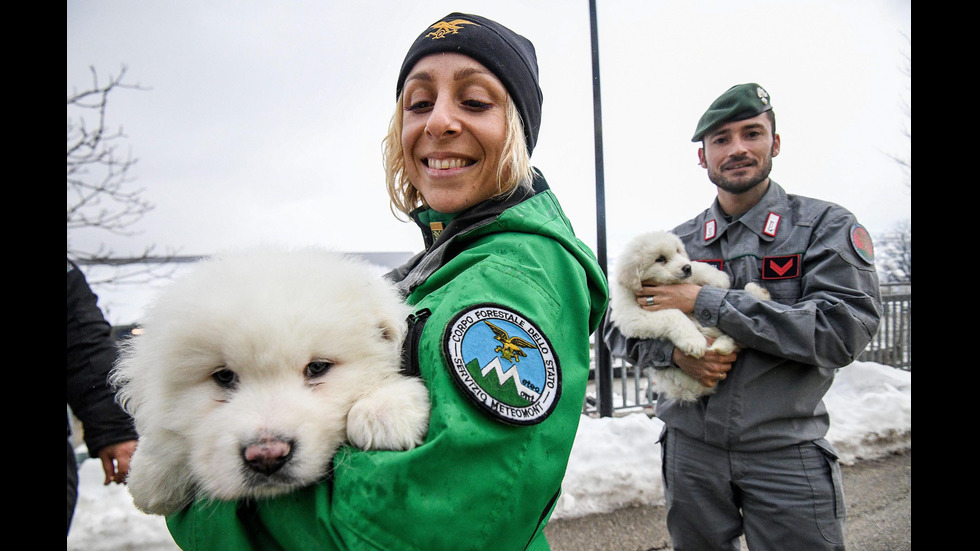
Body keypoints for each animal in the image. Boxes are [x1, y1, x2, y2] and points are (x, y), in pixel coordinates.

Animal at [612, 231, 764, 404]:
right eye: (660, 259)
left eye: (678, 251)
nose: (686, 268)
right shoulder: (632, 316)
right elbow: (674, 314)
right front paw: (694, 341)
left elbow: (697, 266)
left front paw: (718, 277)